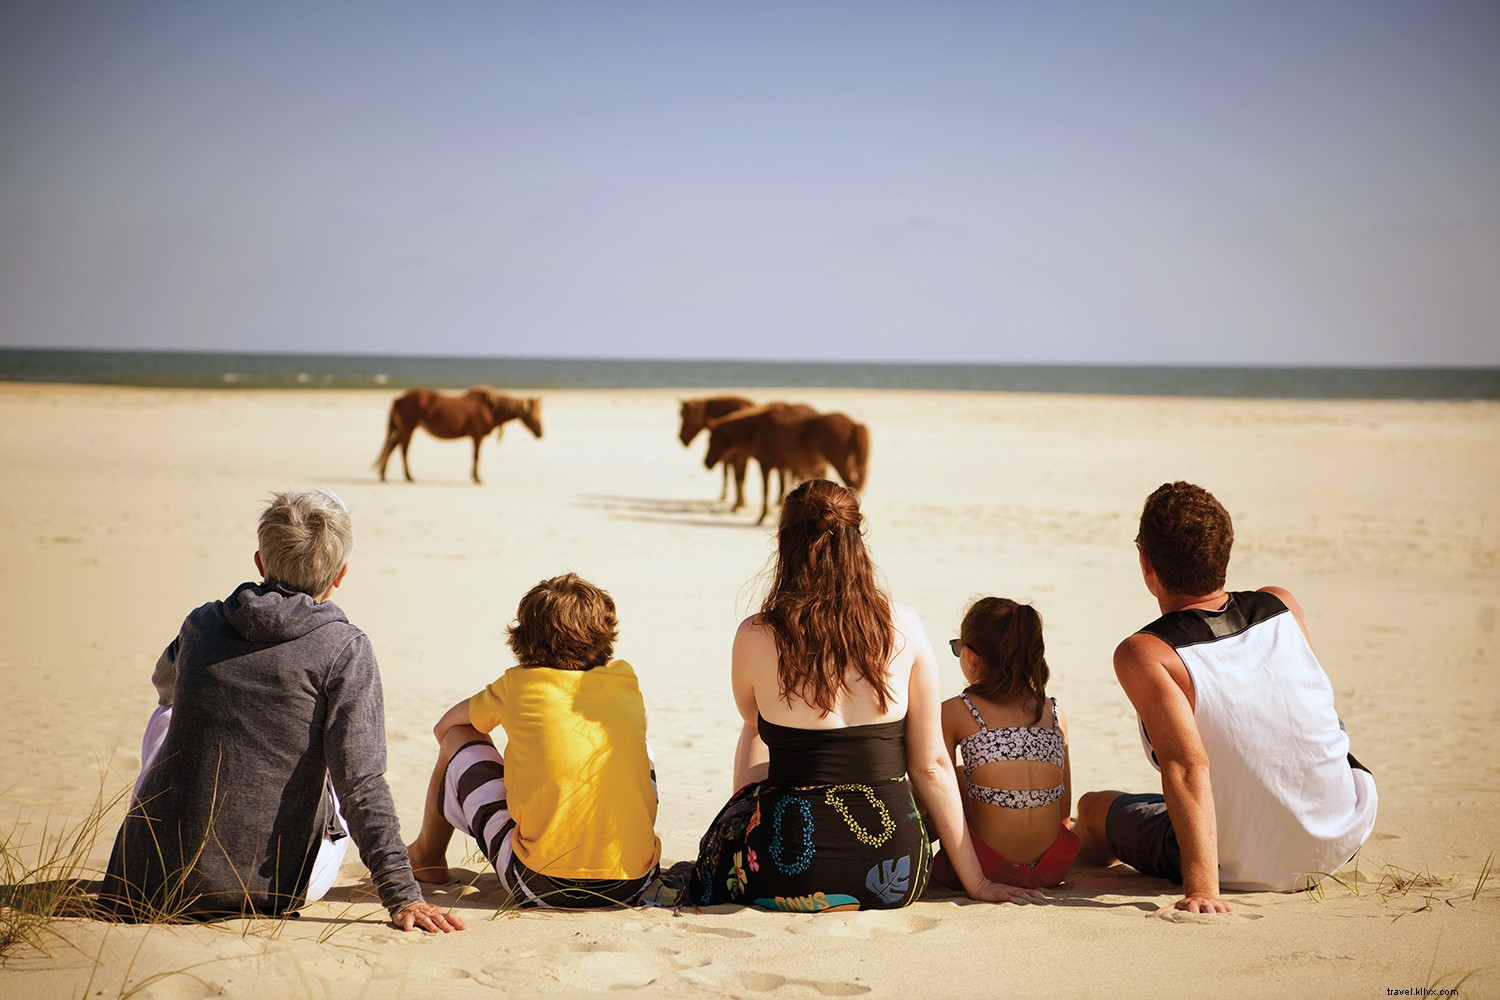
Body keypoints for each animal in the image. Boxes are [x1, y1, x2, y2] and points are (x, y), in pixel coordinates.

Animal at [375, 386, 546, 485]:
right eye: (534, 415)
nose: (541, 433)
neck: (489, 408)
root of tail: (399, 399)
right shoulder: (477, 435)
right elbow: (476, 456)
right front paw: (477, 478)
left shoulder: (475, 436)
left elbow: (475, 456)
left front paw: (475, 477)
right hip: (408, 428)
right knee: (403, 450)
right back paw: (409, 476)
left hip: (404, 429)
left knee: (392, 446)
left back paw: (384, 475)